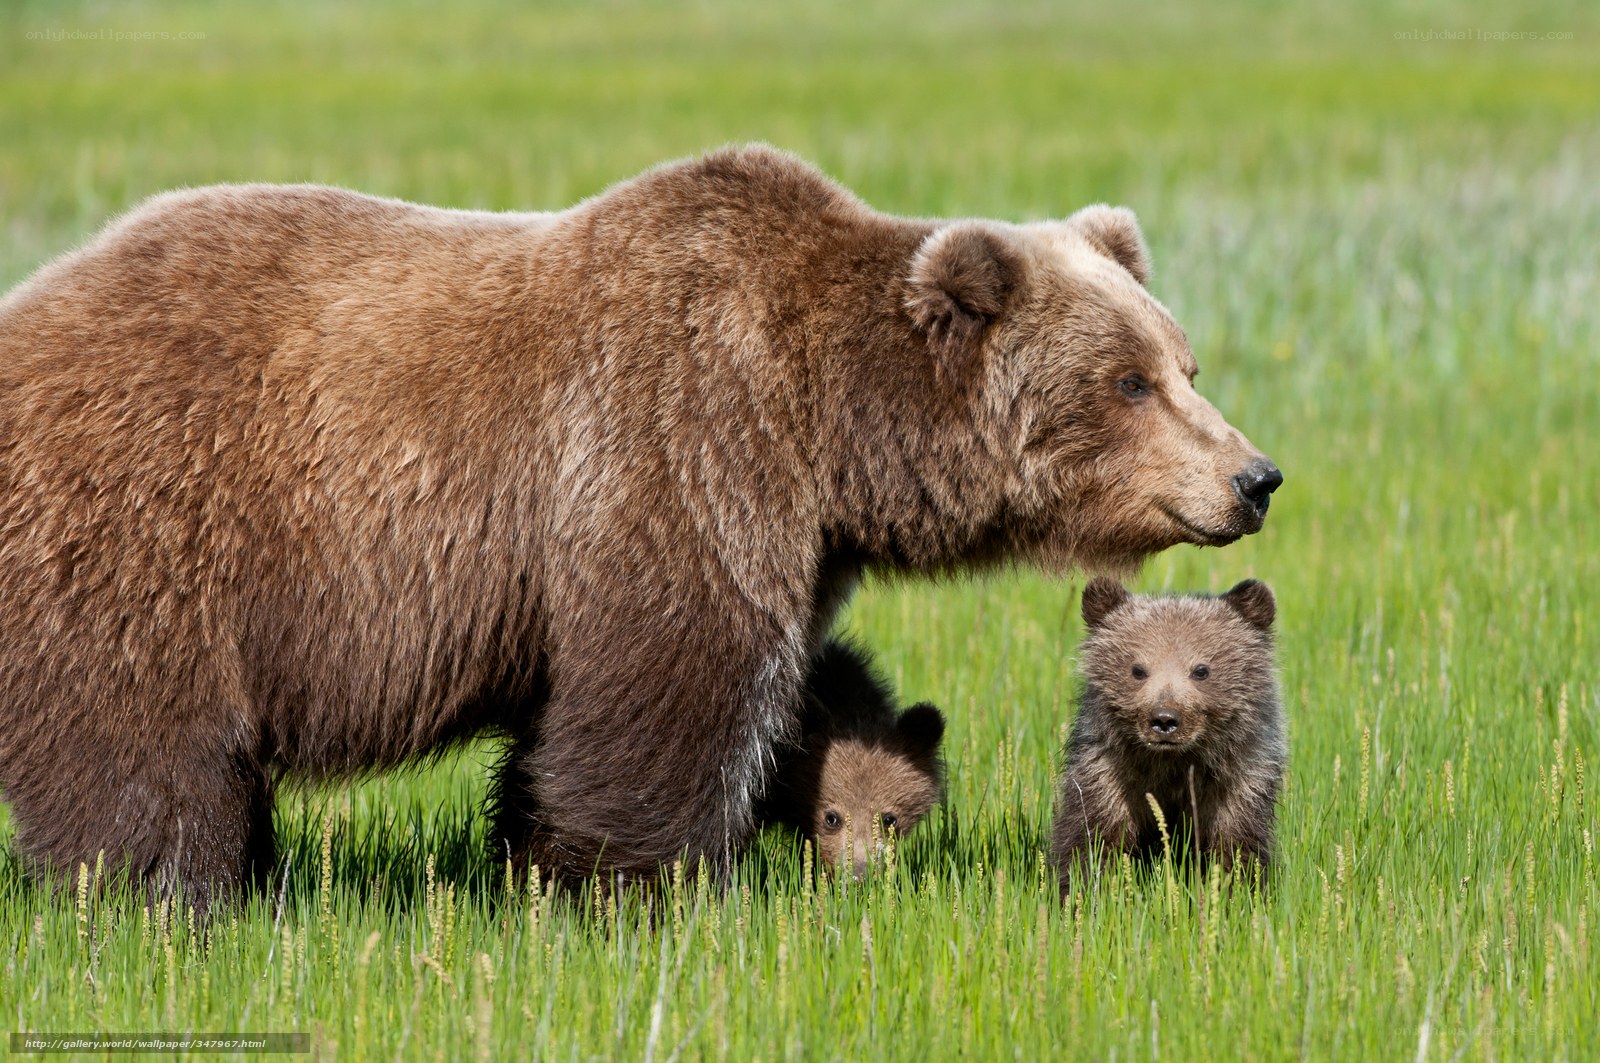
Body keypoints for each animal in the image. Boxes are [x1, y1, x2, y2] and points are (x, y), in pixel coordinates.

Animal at [1051, 577, 1285, 889]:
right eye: (1138, 669)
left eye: (1201, 670)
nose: (1164, 719)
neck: (1172, 764)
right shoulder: (1108, 774)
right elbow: (1093, 839)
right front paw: (1083, 889)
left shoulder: (1239, 779)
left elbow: (1236, 846)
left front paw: (1234, 888)